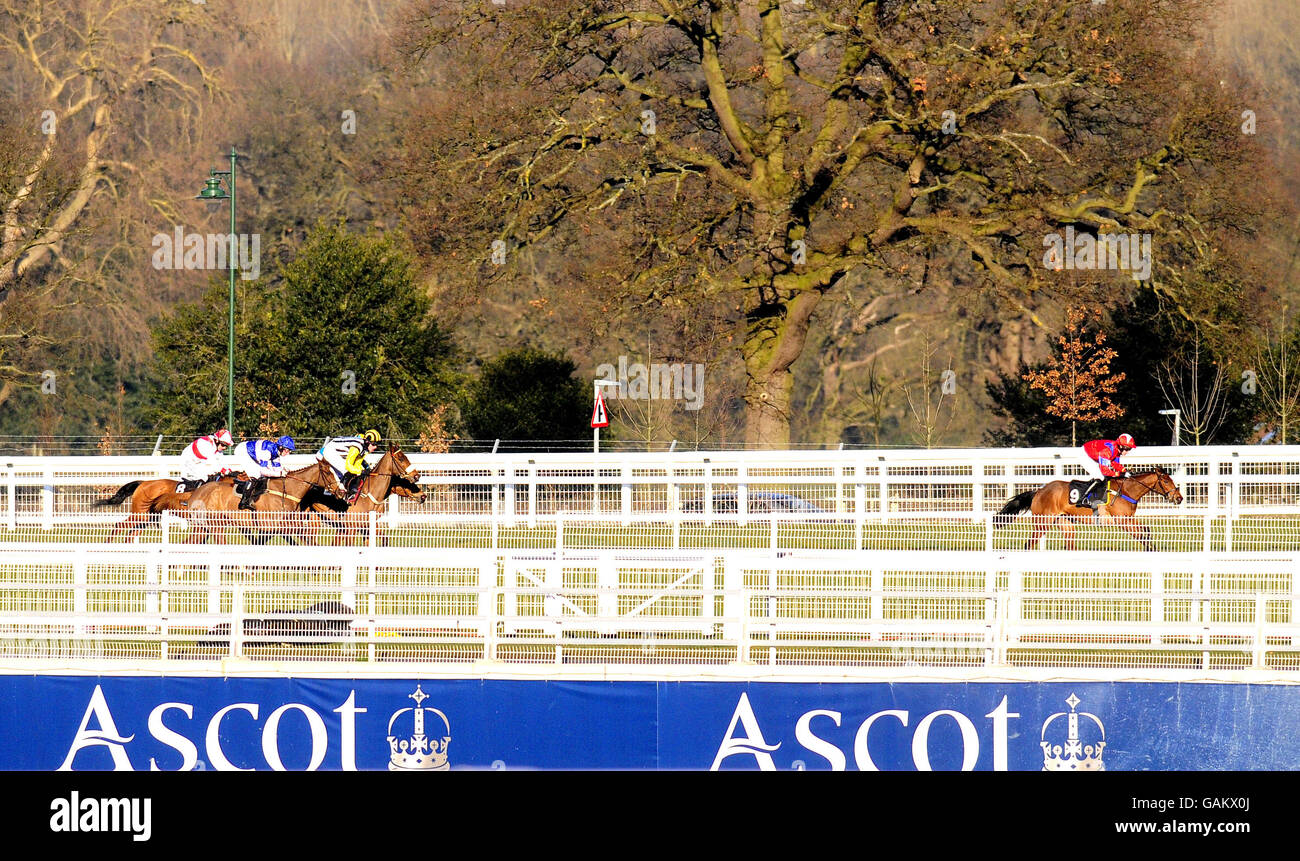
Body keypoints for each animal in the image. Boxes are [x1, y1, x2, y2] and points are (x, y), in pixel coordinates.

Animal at [993, 473, 1190, 554]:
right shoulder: (1122, 521)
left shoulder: (1128, 519)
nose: (1179, 498)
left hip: (1065, 522)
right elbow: (1142, 534)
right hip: (1043, 522)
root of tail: (1039, 491)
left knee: (1069, 545)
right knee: (1029, 543)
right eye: (1166, 481)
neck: (1126, 490)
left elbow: (1146, 531)